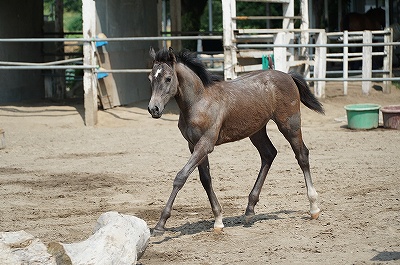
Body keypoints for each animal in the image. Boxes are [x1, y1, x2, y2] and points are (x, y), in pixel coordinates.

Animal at [148, 47, 324, 233]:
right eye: (150, 78)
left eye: (168, 78)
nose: (154, 109)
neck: (199, 102)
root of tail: (288, 76)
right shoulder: (193, 145)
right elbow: (205, 179)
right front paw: (218, 219)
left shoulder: (205, 144)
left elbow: (181, 177)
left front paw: (160, 223)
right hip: (257, 130)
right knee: (269, 154)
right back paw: (249, 210)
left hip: (290, 125)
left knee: (302, 155)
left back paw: (314, 208)